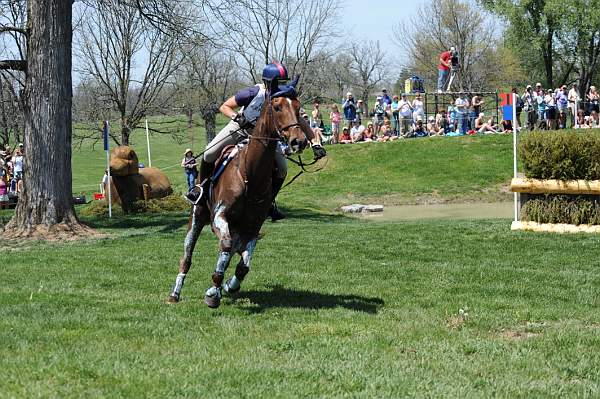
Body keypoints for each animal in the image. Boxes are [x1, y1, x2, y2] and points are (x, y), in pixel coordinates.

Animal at [169, 80, 310, 310]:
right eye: (277, 107)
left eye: (298, 108)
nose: (299, 141)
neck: (250, 175)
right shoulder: (220, 215)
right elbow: (225, 247)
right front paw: (213, 292)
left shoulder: (253, 227)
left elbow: (243, 265)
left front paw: (227, 286)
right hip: (197, 217)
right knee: (187, 257)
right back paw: (175, 293)